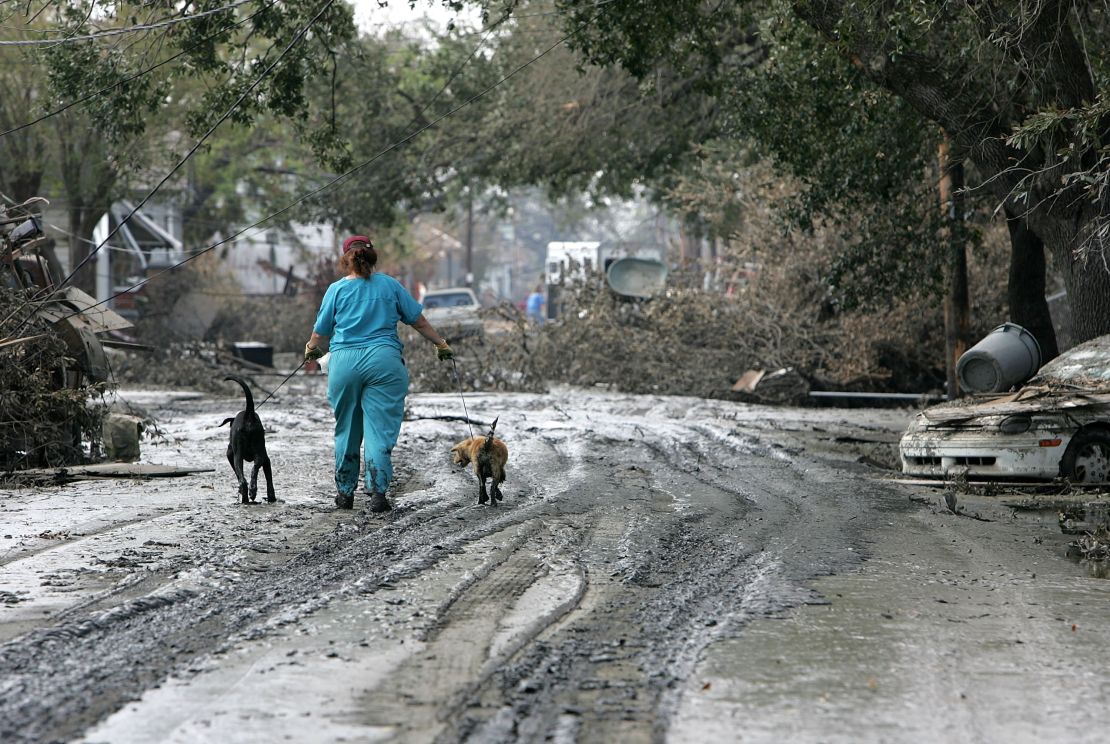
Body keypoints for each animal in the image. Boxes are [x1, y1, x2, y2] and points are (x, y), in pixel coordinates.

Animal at [218, 375, 275, 504]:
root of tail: (248, 416)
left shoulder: (230, 455)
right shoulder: (265, 459)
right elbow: (269, 479)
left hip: (240, 454)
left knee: (244, 479)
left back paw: (246, 497)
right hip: (258, 452)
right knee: (253, 471)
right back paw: (252, 491)